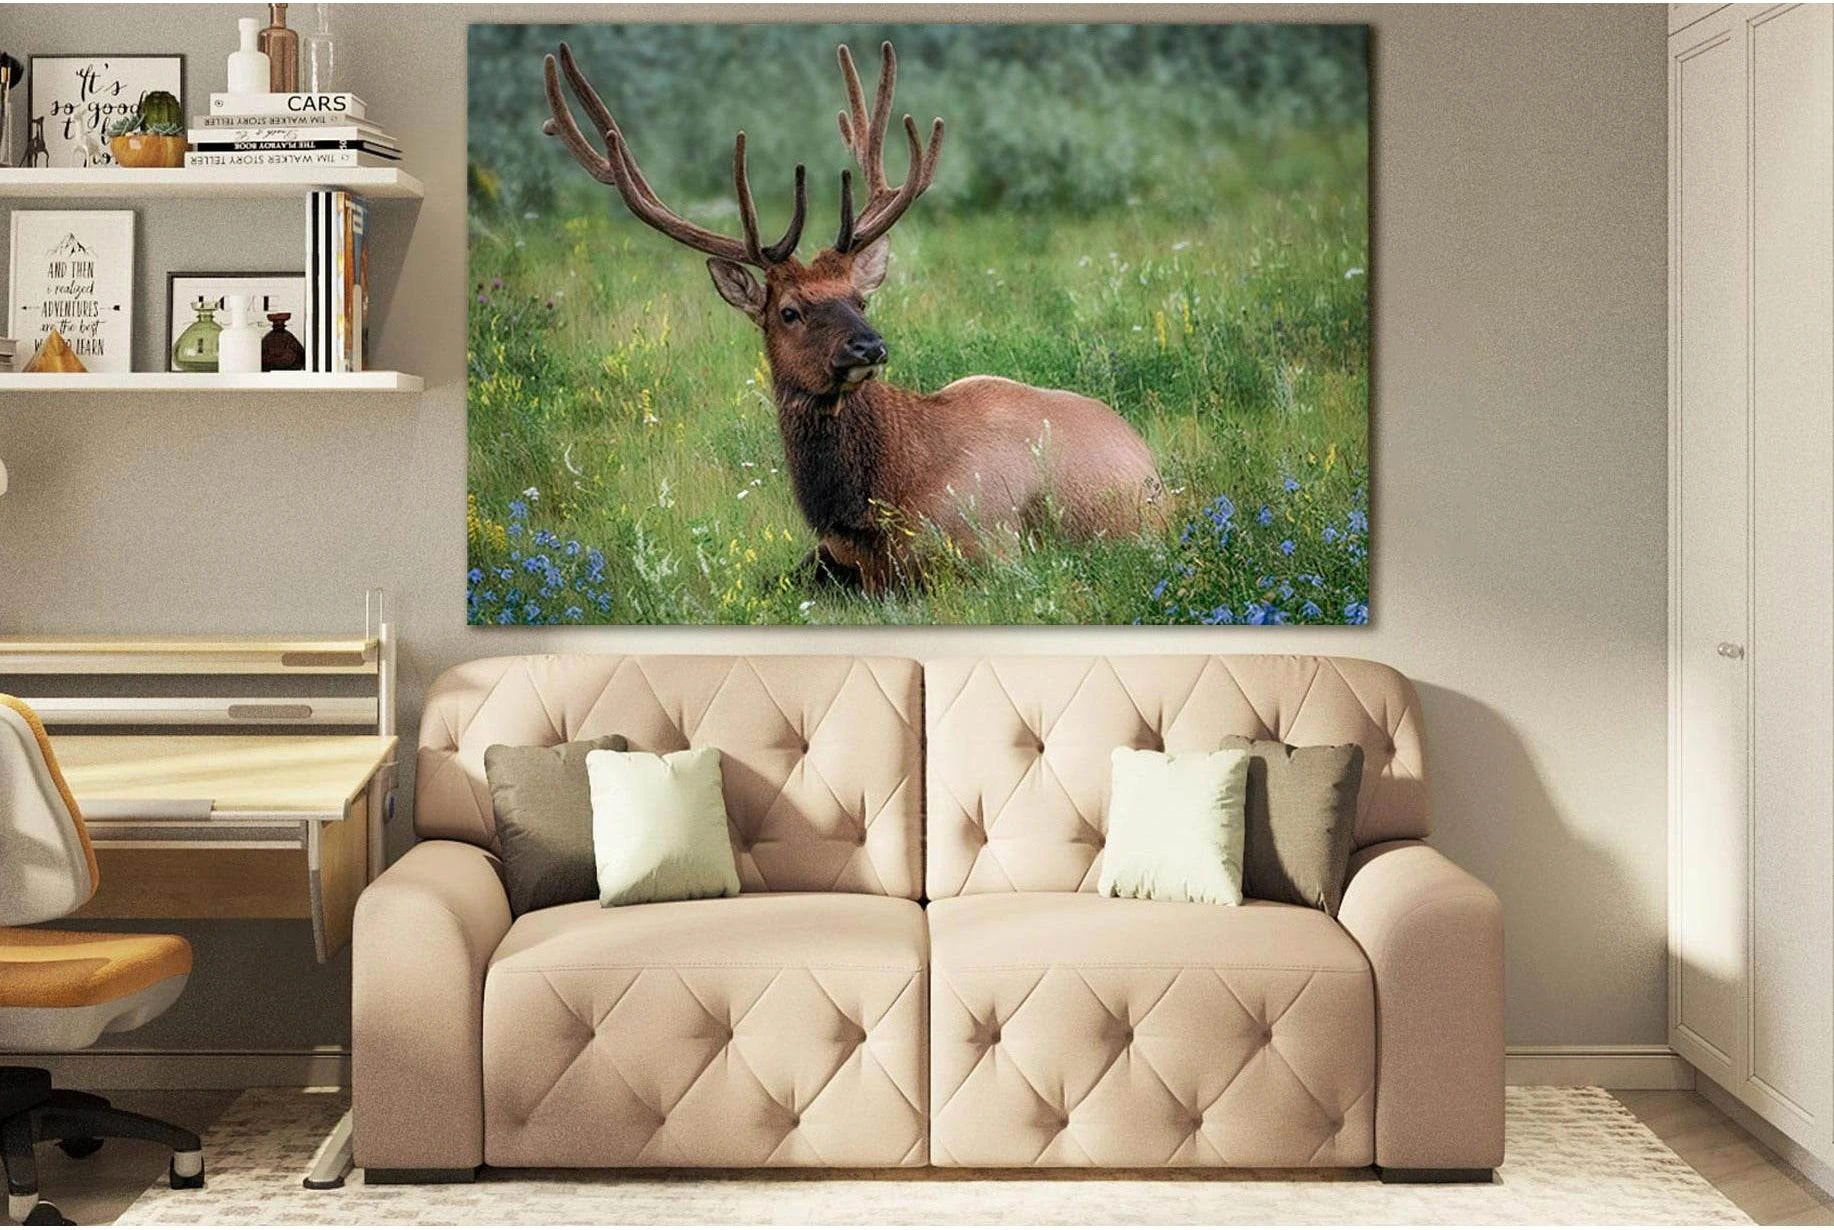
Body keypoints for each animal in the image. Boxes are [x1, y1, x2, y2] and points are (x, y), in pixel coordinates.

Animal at [543, 40, 1164, 594]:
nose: (869, 347)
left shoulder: (995, 545)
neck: (875, 505)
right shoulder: (828, 555)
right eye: (789, 311)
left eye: (858, 299)